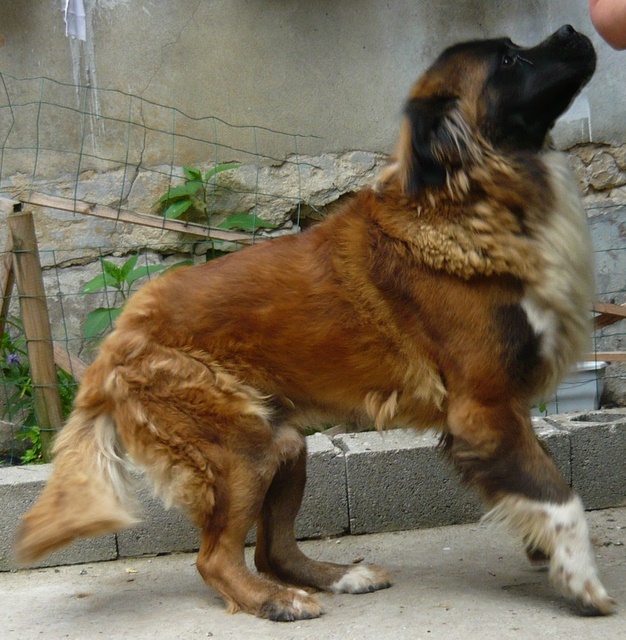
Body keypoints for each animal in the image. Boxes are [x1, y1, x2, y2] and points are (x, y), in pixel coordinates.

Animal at [15, 25, 616, 620]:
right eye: (509, 59)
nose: (572, 30)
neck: (466, 194)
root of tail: (116, 341)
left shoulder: (502, 409)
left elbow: (537, 480)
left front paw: (547, 555)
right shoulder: (485, 407)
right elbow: (559, 495)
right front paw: (583, 581)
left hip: (284, 444)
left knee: (273, 550)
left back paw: (340, 577)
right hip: (243, 449)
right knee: (215, 559)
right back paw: (275, 601)